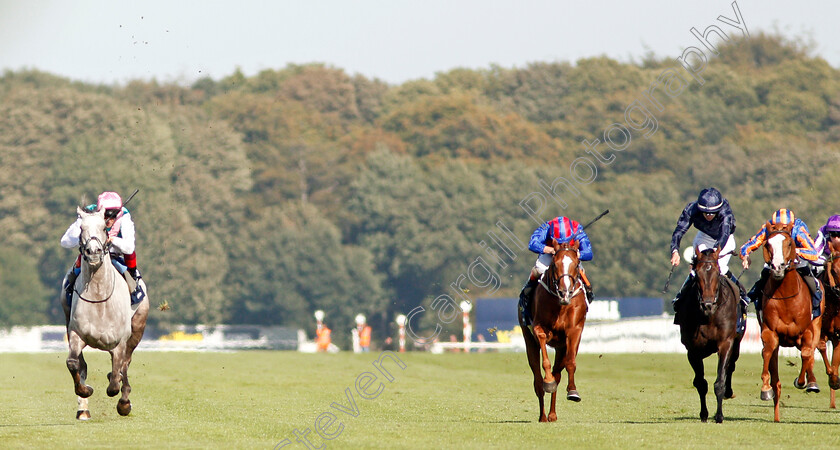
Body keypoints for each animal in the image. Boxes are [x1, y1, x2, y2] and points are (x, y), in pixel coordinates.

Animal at [62, 207, 149, 418]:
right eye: (81, 228)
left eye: (103, 227)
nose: (93, 252)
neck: (99, 298)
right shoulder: (76, 333)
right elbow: (73, 363)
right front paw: (85, 390)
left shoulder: (120, 341)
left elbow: (116, 379)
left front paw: (122, 400)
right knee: (83, 365)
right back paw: (83, 409)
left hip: (137, 329)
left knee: (124, 365)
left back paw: (124, 402)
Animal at [520, 239, 592, 422]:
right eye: (555, 264)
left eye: (576, 264)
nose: (564, 292)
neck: (561, 304)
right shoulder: (538, 327)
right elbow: (544, 360)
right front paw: (548, 381)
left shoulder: (574, 331)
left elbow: (571, 362)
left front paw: (573, 391)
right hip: (528, 340)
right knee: (538, 379)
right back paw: (543, 415)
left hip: (561, 348)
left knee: (558, 373)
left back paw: (552, 414)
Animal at [672, 248, 744, 424]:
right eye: (696, 273)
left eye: (717, 272)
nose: (708, 304)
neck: (708, 316)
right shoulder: (692, 349)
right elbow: (700, 383)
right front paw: (704, 414)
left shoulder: (726, 343)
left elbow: (720, 381)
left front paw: (719, 416)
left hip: (737, 343)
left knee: (731, 366)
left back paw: (729, 392)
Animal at [756, 221, 820, 422]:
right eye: (768, 244)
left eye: (790, 243)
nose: (778, 267)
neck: (786, 297)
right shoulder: (770, 332)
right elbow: (767, 353)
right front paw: (765, 389)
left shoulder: (806, 332)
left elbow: (807, 354)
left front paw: (802, 382)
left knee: (812, 352)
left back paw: (812, 382)